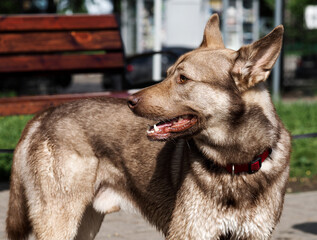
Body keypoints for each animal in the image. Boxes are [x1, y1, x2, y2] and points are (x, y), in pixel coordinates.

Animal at [6, 15, 288, 240]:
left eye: (183, 78)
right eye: (167, 73)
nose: (130, 101)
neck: (234, 164)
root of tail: (44, 114)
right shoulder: (190, 232)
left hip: (84, 224)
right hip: (60, 221)